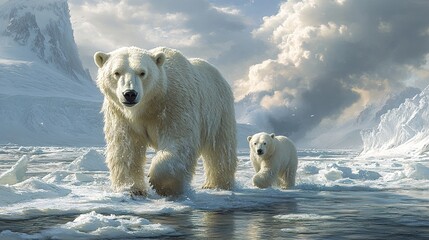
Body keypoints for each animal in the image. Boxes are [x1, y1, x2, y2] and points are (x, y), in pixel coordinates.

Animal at [93, 46, 237, 197]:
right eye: (116, 72)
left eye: (142, 72)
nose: (130, 94)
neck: (149, 105)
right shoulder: (121, 115)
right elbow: (126, 148)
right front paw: (132, 188)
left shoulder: (174, 104)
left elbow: (178, 141)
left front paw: (161, 185)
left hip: (218, 109)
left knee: (220, 148)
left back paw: (216, 184)